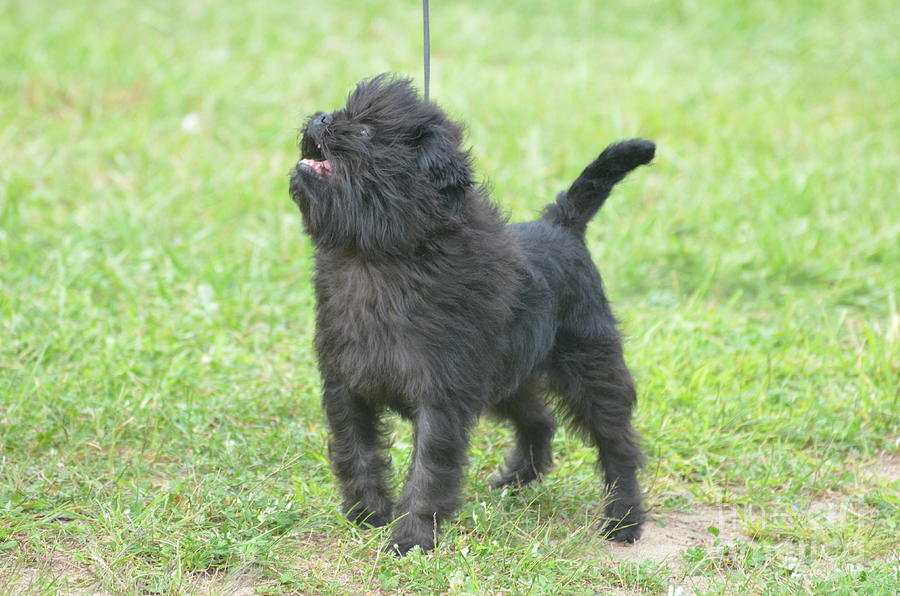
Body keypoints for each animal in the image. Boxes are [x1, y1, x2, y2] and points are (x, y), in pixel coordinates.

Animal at [288, 73, 652, 556]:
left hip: (590, 365)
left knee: (617, 443)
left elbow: (428, 469)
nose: (323, 117)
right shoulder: (346, 385)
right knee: (540, 418)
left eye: (365, 131)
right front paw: (367, 515)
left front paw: (411, 538)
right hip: (507, 374)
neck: (378, 257)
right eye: (341, 113)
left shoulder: (440, 394)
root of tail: (562, 225)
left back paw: (624, 519)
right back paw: (519, 478)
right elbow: (355, 453)